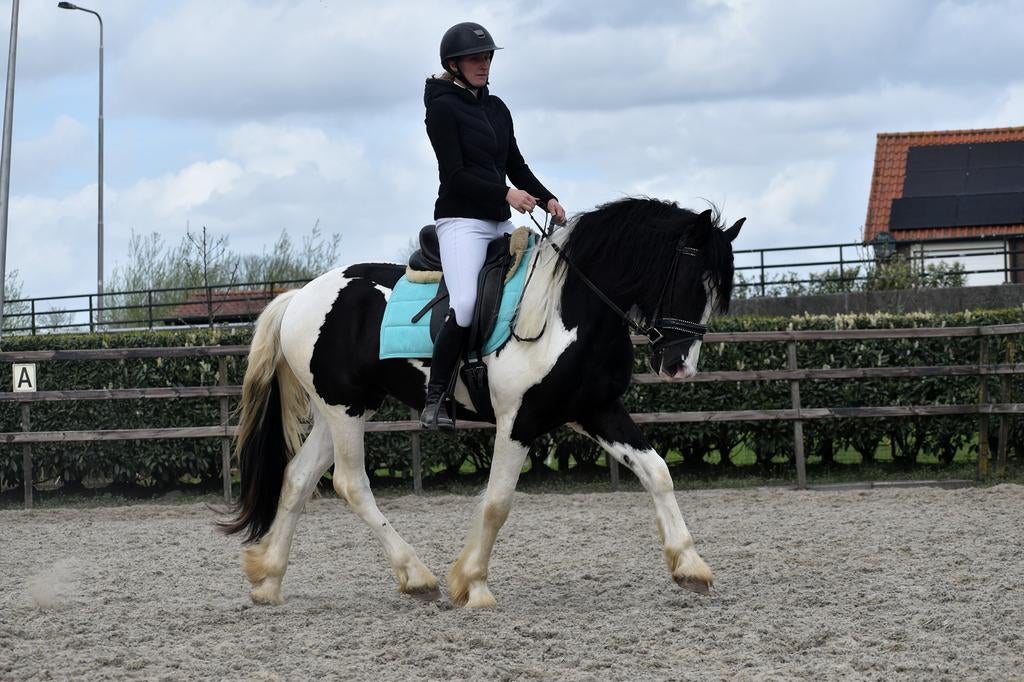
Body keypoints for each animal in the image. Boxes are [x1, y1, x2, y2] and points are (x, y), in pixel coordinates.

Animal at [219, 196, 743, 607]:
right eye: (692, 281)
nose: (680, 366)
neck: (567, 309)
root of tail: (299, 296)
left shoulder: (597, 409)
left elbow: (657, 471)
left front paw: (691, 566)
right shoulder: (520, 420)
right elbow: (497, 502)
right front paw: (472, 584)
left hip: (344, 409)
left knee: (298, 479)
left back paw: (269, 581)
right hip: (344, 410)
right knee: (351, 484)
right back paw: (417, 577)